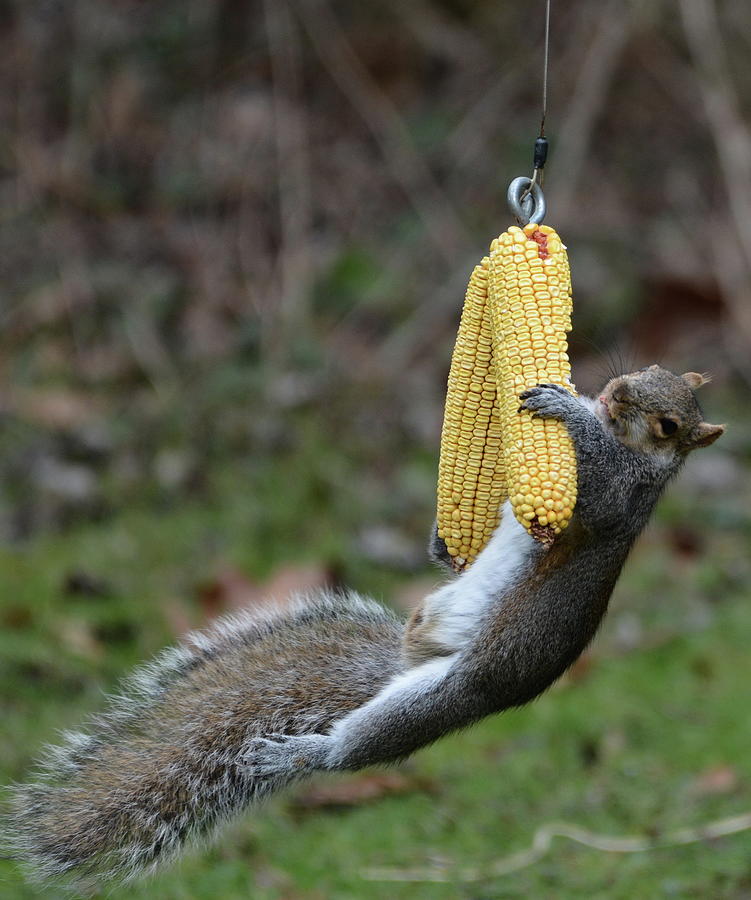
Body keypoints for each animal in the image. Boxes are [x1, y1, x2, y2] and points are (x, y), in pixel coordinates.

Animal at [2, 368, 724, 892]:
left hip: (442, 696)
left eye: (666, 423)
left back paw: (305, 755)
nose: (613, 391)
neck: (645, 461)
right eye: (645, 371)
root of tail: (404, 659)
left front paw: (567, 410)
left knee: (363, 746)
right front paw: (447, 532)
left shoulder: (613, 499)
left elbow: (593, 487)